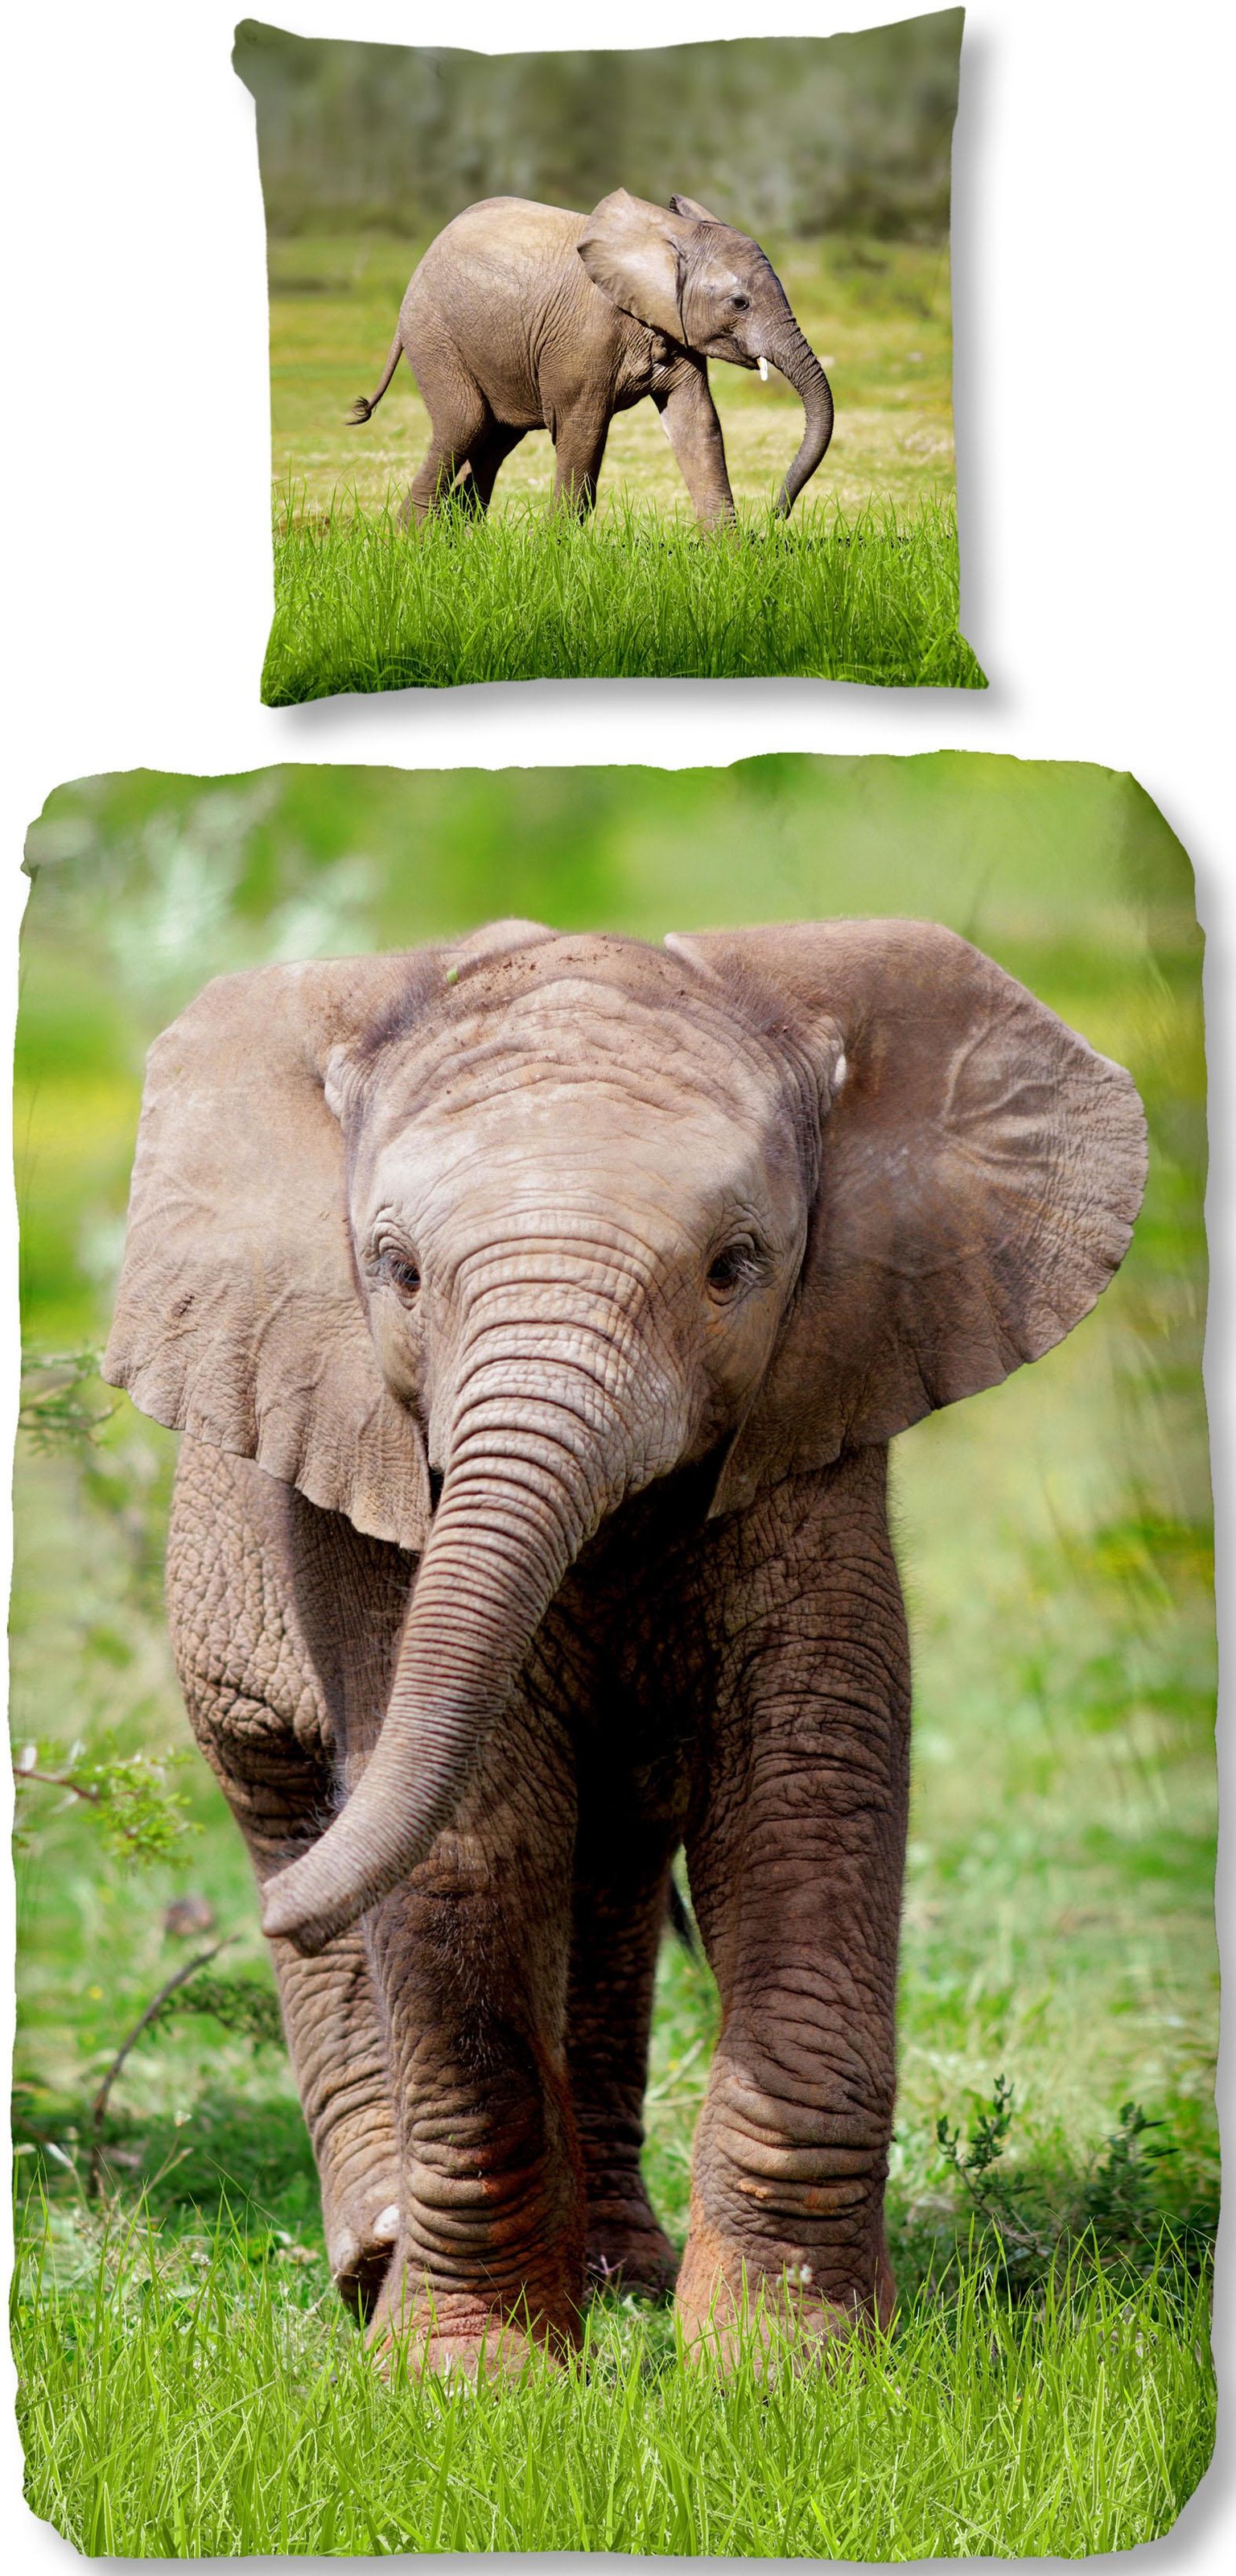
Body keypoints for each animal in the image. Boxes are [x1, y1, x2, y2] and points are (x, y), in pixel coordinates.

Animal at [104, 916, 1145, 2378]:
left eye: (736, 1266)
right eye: (397, 1271)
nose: (221, 1917)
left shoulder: (812, 1415)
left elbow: (805, 1781)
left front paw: (786, 2370)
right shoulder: (362, 1475)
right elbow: (473, 1824)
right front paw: (469, 2383)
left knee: (604, 1866)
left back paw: (623, 2277)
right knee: (299, 1801)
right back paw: (380, 2258)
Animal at [345, 190, 834, 527]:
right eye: (740, 303)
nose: (776, 515)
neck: (666, 237)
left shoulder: (671, 326)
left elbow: (698, 425)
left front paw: (732, 561)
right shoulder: (586, 338)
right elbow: (582, 429)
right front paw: (553, 561)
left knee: (492, 439)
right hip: (434, 332)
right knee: (464, 423)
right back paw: (412, 545)